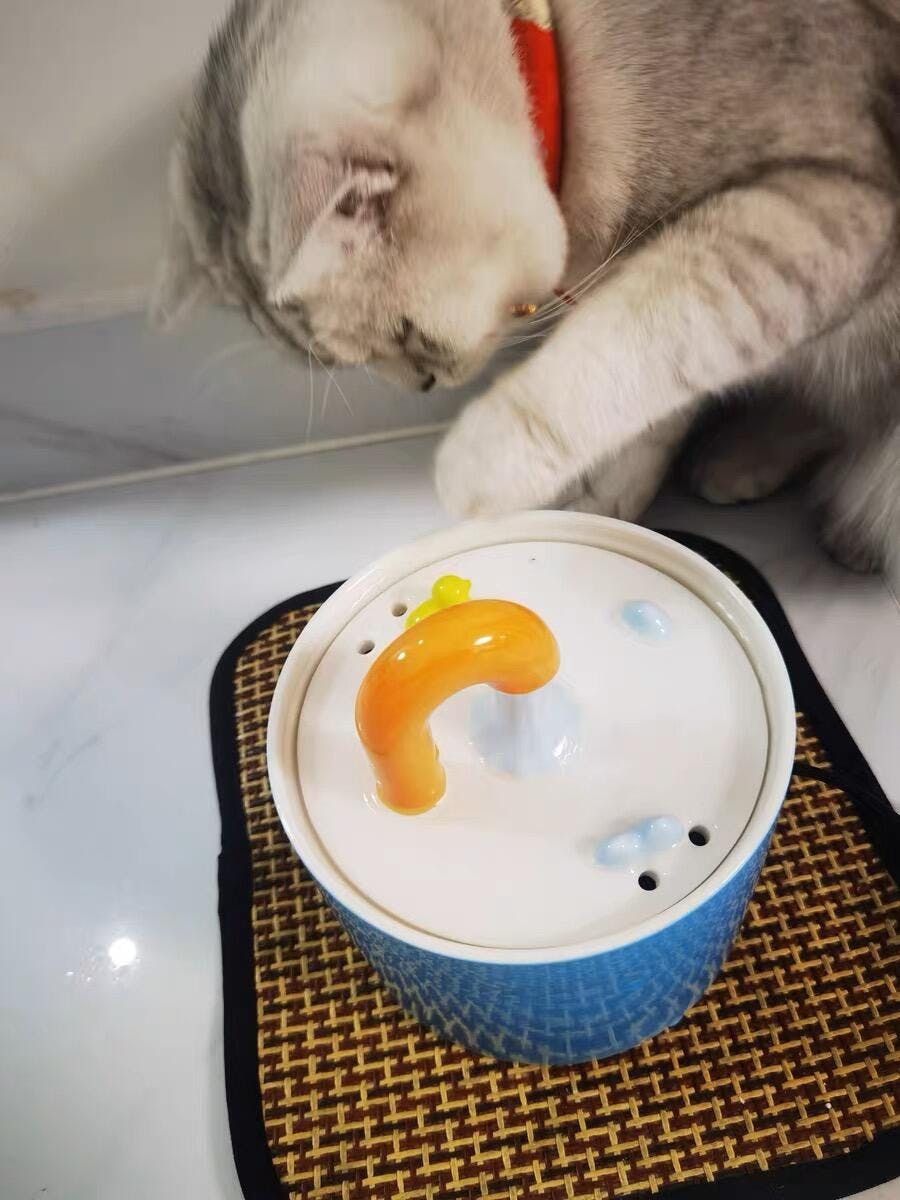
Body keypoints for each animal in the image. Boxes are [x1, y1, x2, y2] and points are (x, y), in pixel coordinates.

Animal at [153, 0, 900, 573]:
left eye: (406, 333)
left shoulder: (824, 209)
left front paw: (483, 464)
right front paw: (611, 495)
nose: (424, 385)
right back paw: (748, 459)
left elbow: (641, 333)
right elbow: (665, 397)